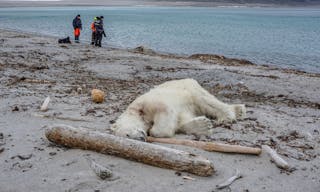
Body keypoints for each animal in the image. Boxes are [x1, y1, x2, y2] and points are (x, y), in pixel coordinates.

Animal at [111, 78, 246, 141]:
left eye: (127, 134)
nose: (140, 138)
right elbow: (182, 120)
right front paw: (203, 125)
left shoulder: (148, 103)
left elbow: (163, 113)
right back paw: (239, 110)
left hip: (189, 88)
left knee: (206, 101)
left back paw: (228, 116)